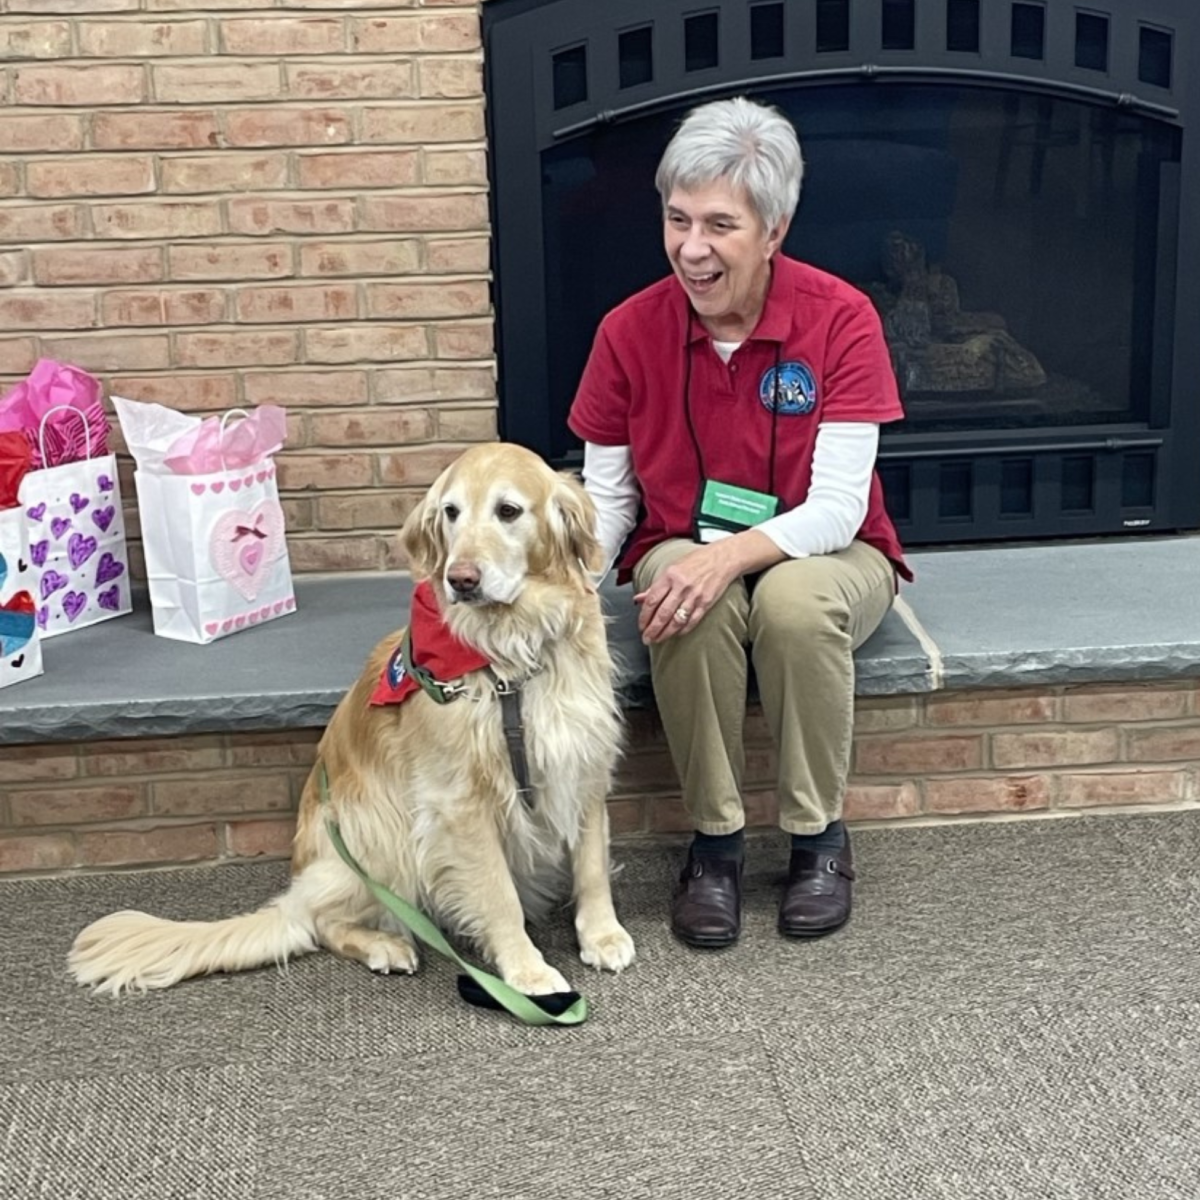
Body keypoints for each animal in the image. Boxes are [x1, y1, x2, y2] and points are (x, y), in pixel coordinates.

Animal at [69, 446, 638, 998]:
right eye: (450, 513)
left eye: (509, 511)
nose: (460, 579)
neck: (510, 659)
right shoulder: (460, 801)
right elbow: (499, 896)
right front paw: (526, 971)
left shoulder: (583, 763)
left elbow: (591, 866)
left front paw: (602, 934)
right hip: (381, 830)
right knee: (322, 922)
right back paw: (385, 945)